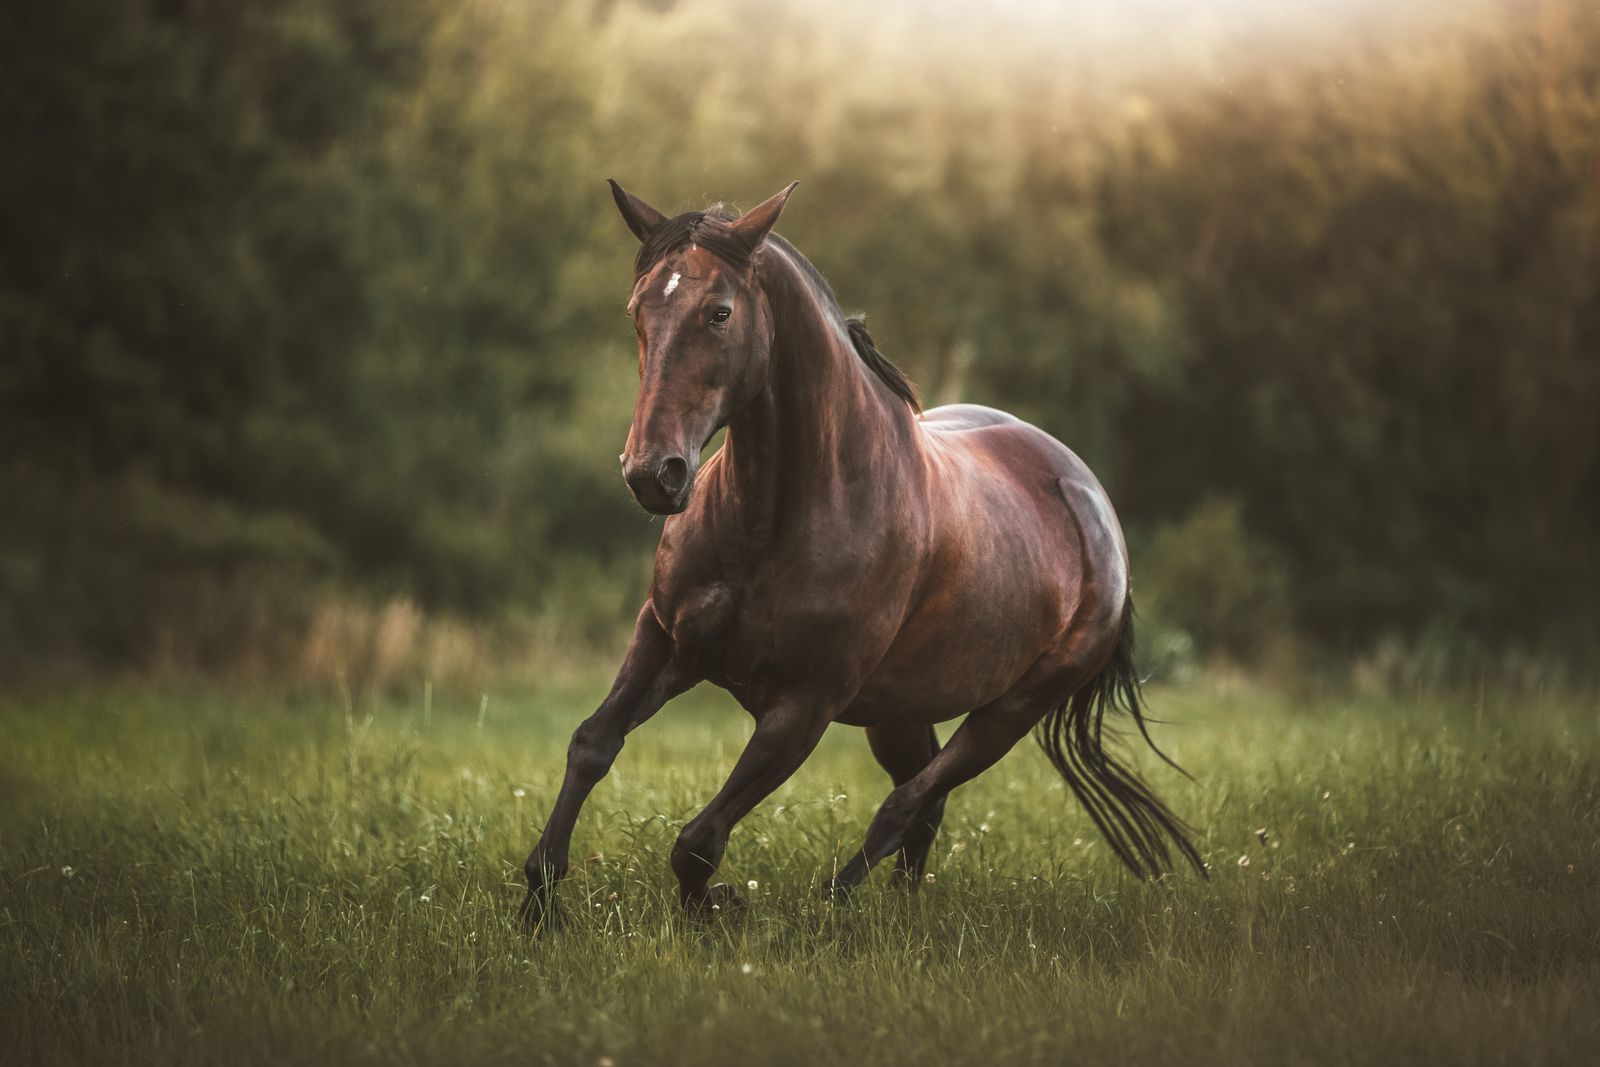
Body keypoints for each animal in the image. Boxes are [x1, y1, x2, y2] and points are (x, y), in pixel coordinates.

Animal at [520, 180, 1204, 929]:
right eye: (639, 309)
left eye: (719, 312)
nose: (653, 473)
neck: (772, 517)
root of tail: (1093, 504)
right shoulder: (668, 639)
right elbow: (593, 744)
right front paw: (539, 900)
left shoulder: (805, 703)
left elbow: (699, 841)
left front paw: (718, 908)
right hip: (899, 711)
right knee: (920, 809)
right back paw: (899, 910)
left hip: (1010, 711)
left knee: (908, 804)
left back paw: (837, 907)